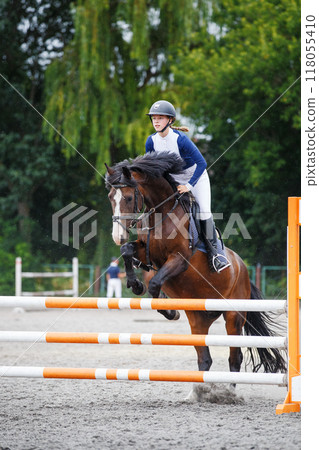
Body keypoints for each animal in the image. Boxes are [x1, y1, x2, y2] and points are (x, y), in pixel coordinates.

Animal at [105, 152, 288, 376]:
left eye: (129, 198)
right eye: (110, 198)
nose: (118, 236)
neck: (162, 213)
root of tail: (243, 269)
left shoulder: (179, 259)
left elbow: (155, 284)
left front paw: (170, 311)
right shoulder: (147, 253)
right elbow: (127, 251)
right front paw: (135, 284)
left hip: (233, 317)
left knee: (234, 358)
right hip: (198, 318)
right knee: (205, 358)